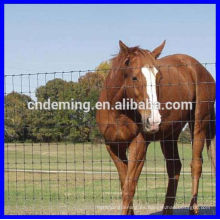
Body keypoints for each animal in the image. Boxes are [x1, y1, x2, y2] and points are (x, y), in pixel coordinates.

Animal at [96, 40, 215, 215]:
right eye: (134, 77)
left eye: (159, 77)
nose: (153, 120)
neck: (118, 112)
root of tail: (202, 70)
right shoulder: (113, 147)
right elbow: (125, 184)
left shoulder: (139, 145)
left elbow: (129, 189)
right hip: (169, 135)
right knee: (174, 168)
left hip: (199, 124)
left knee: (196, 165)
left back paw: (193, 210)